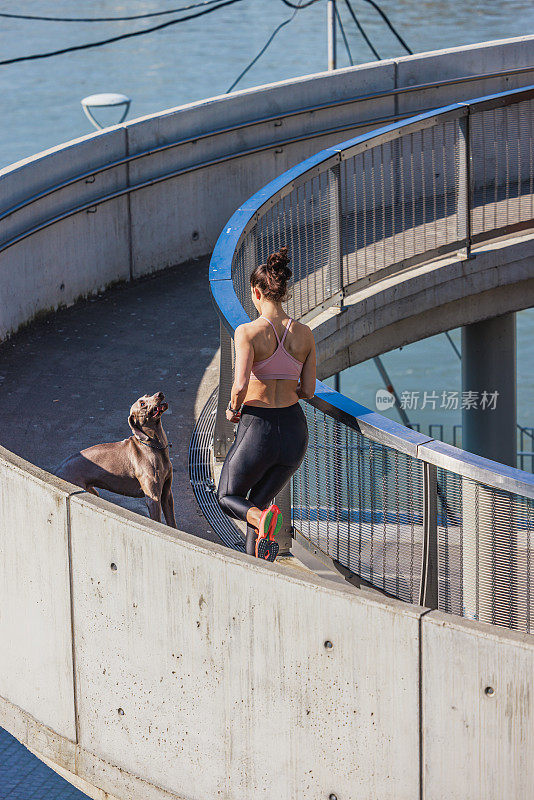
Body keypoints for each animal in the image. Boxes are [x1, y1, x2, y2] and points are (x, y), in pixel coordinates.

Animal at [56, 392, 178, 528]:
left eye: (147, 395)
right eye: (142, 403)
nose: (160, 394)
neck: (155, 447)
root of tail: (56, 471)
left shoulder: (167, 495)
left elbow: (172, 523)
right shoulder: (153, 497)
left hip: (93, 491)